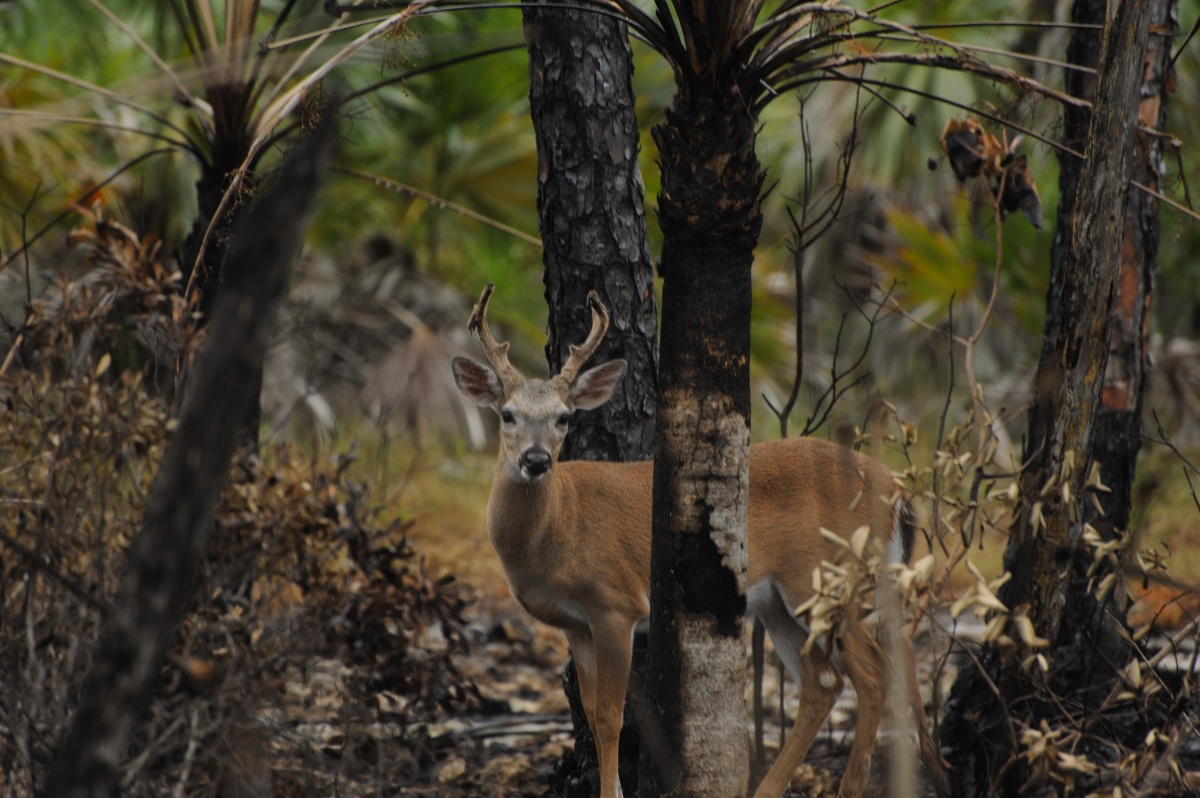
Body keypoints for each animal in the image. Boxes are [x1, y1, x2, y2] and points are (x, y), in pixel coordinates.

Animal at [451, 283, 945, 792]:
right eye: (507, 415)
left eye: (565, 417)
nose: (536, 459)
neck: (556, 528)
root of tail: (897, 489)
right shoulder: (575, 624)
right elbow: (589, 712)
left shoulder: (614, 604)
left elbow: (609, 717)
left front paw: (612, 793)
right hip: (778, 600)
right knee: (824, 683)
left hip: (826, 577)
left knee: (872, 674)